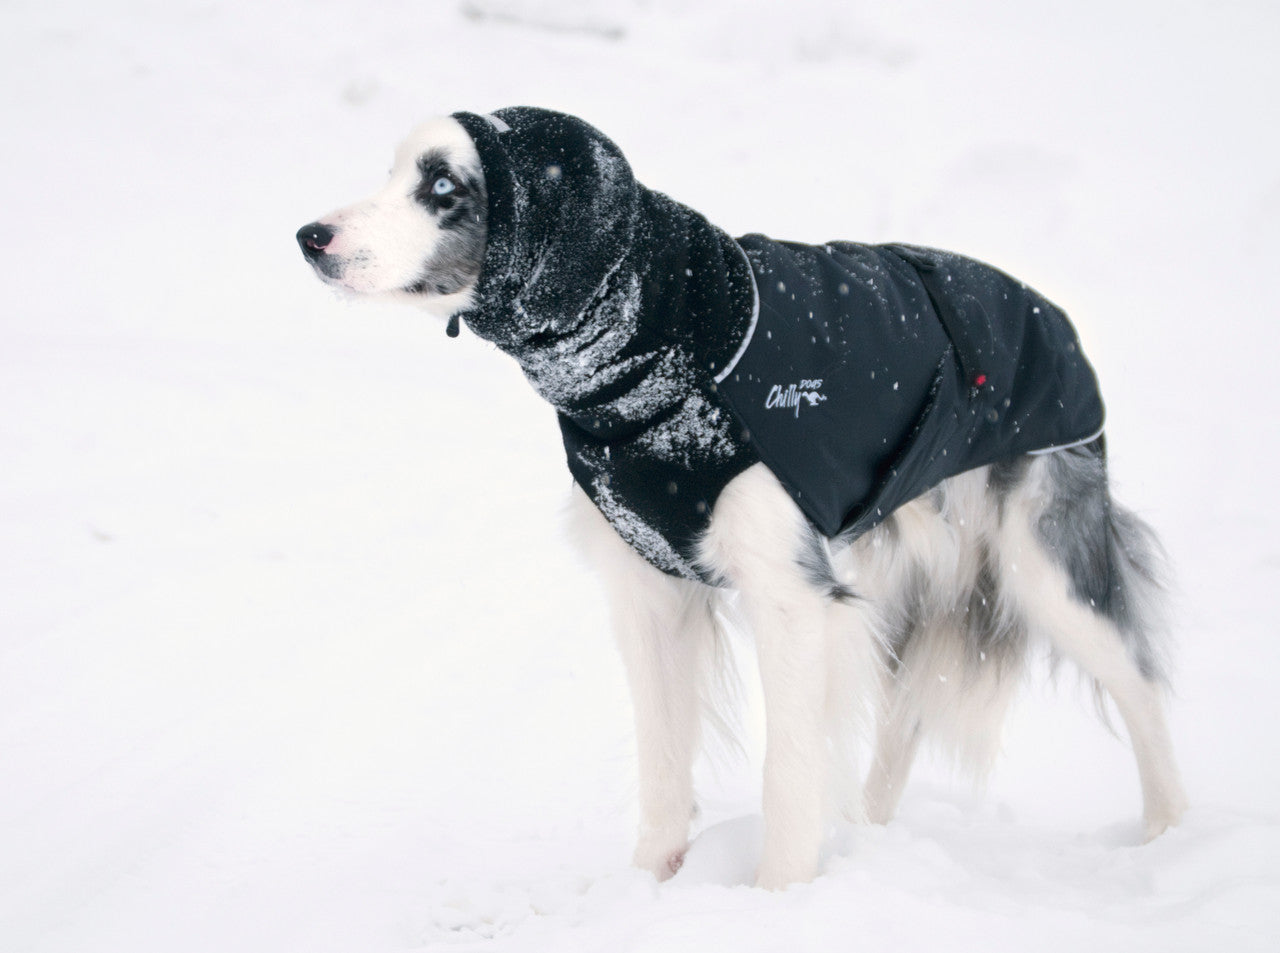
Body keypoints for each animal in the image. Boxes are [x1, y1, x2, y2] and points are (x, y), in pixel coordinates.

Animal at [299, 108, 1187, 890]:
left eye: (443, 185)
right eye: (393, 173)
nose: (309, 237)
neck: (659, 350)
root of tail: (1052, 318)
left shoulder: (791, 591)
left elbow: (788, 767)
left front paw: (780, 896)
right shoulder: (651, 591)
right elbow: (662, 763)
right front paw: (646, 891)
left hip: (1042, 565)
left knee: (1142, 687)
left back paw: (1168, 839)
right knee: (905, 714)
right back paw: (869, 834)